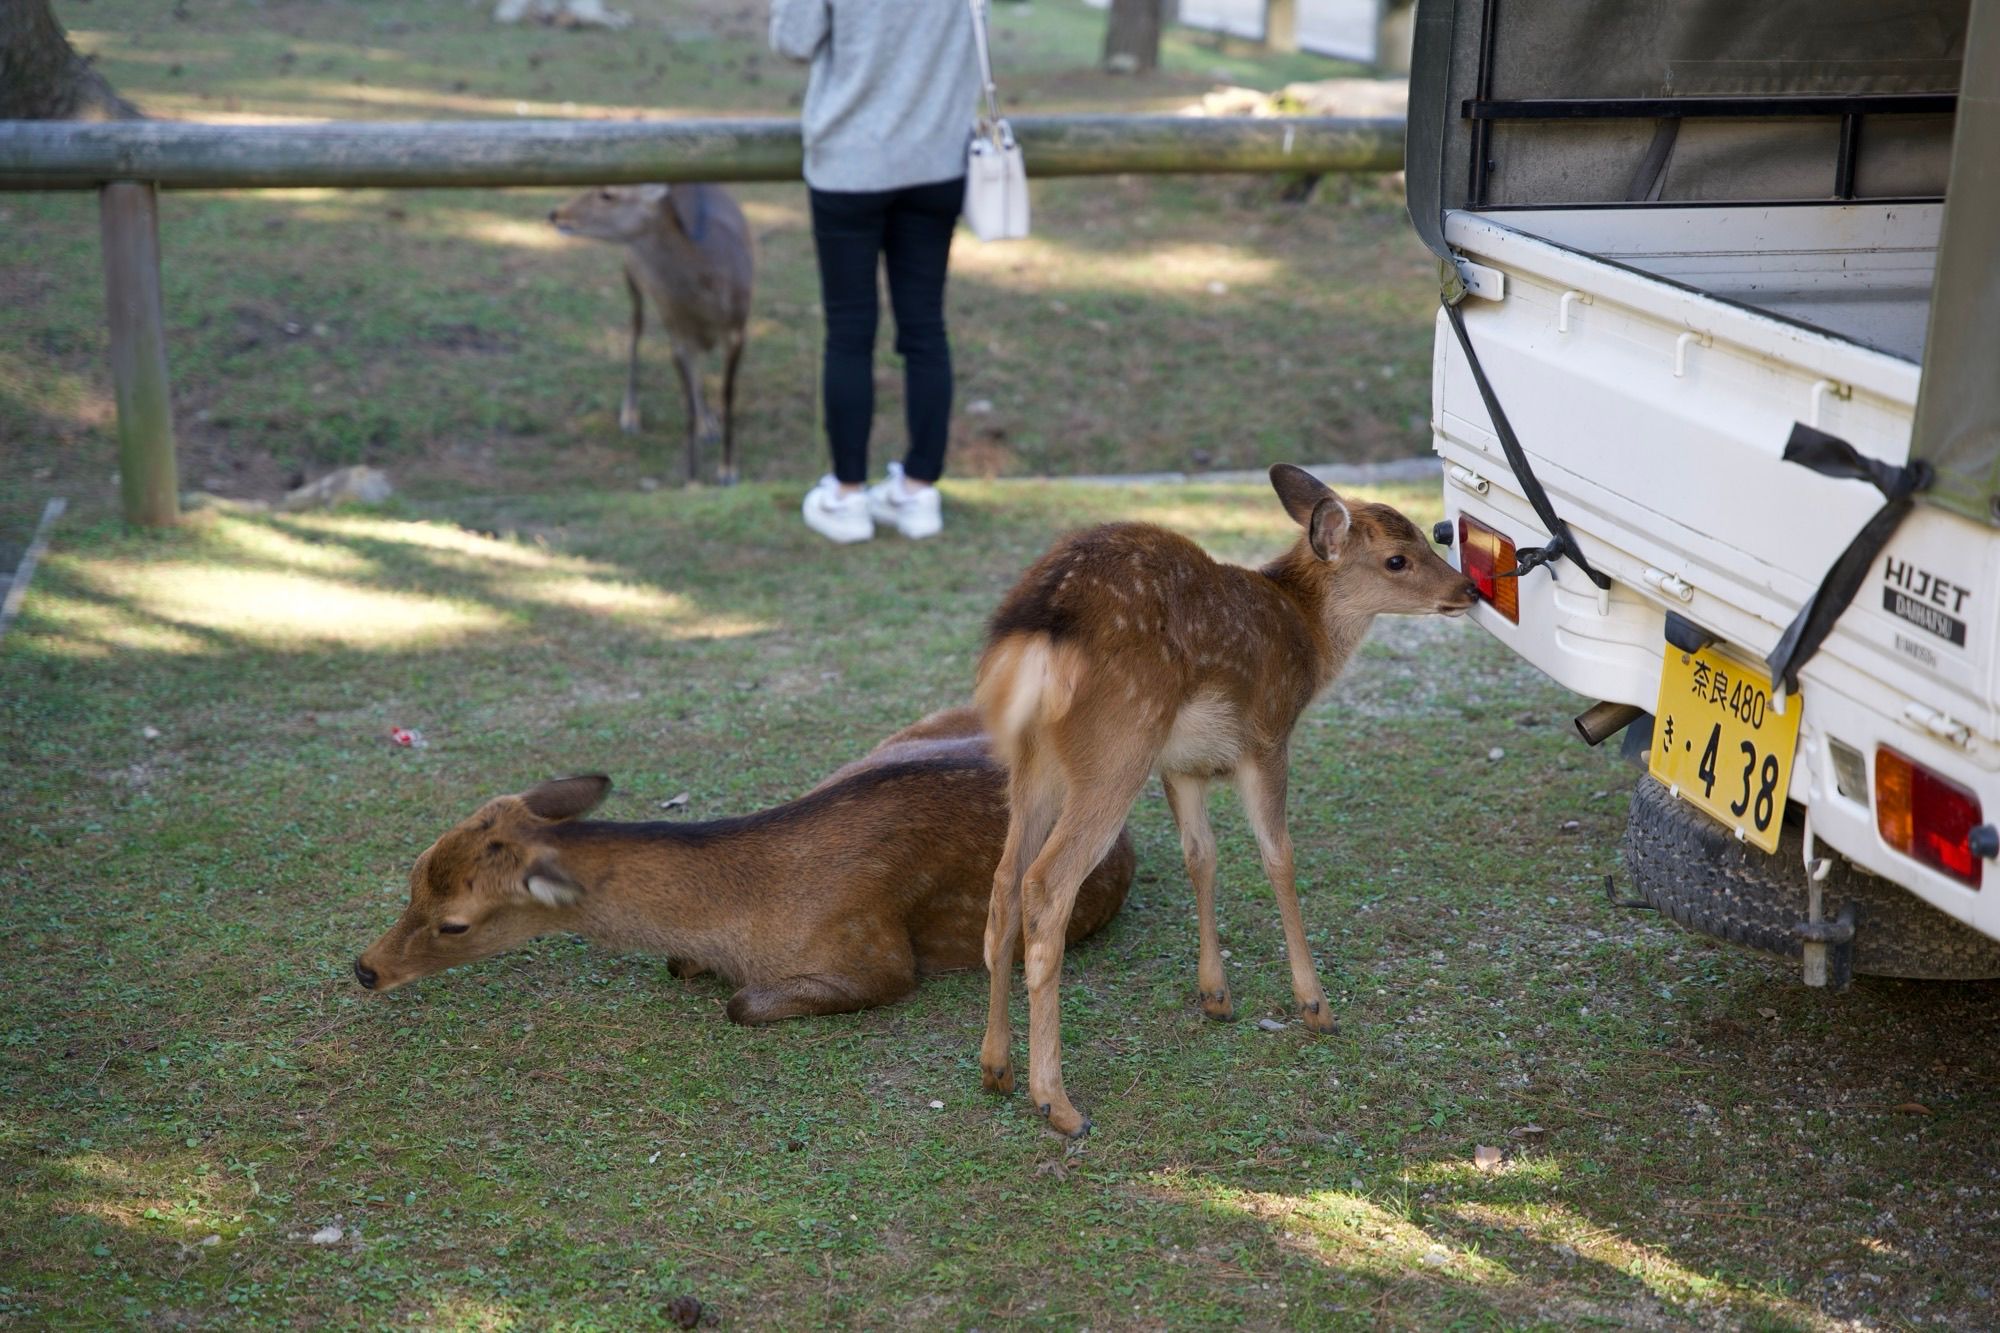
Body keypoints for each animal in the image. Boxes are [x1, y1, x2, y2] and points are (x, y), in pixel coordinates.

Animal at [354, 704, 1136, 1016]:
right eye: (414, 870)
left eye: (454, 922)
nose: (365, 968)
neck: (741, 921)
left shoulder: (876, 957)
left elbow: (739, 1004)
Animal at [552, 180, 752, 482]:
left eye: (607, 193)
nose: (555, 213)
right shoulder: (677, 331)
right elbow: (688, 406)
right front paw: (692, 477)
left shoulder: (737, 328)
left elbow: (727, 396)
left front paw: (727, 470)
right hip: (633, 277)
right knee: (636, 330)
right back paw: (630, 415)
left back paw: (708, 425)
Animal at [976, 464, 1480, 1128]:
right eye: (1398, 559)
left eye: (1427, 537)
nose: (1468, 590)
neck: (1307, 635)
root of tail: (1040, 628)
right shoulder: (1266, 737)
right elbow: (1278, 857)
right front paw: (1315, 1005)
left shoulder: (1181, 765)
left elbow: (1202, 855)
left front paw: (1215, 994)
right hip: (1119, 744)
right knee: (1045, 884)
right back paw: (1058, 1102)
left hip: (1035, 758)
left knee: (1005, 883)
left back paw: (996, 1068)